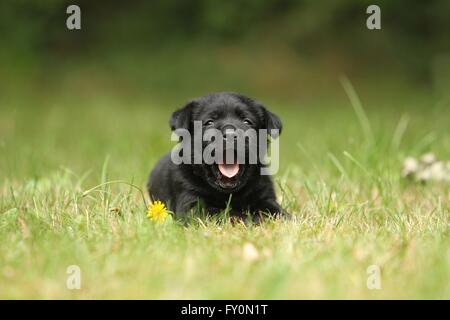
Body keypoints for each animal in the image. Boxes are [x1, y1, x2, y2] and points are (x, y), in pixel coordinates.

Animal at [149, 91, 284, 219]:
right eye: (209, 122)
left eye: (247, 122)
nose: (230, 135)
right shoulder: (192, 204)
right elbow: (227, 214)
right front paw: (253, 219)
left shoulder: (264, 193)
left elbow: (276, 210)